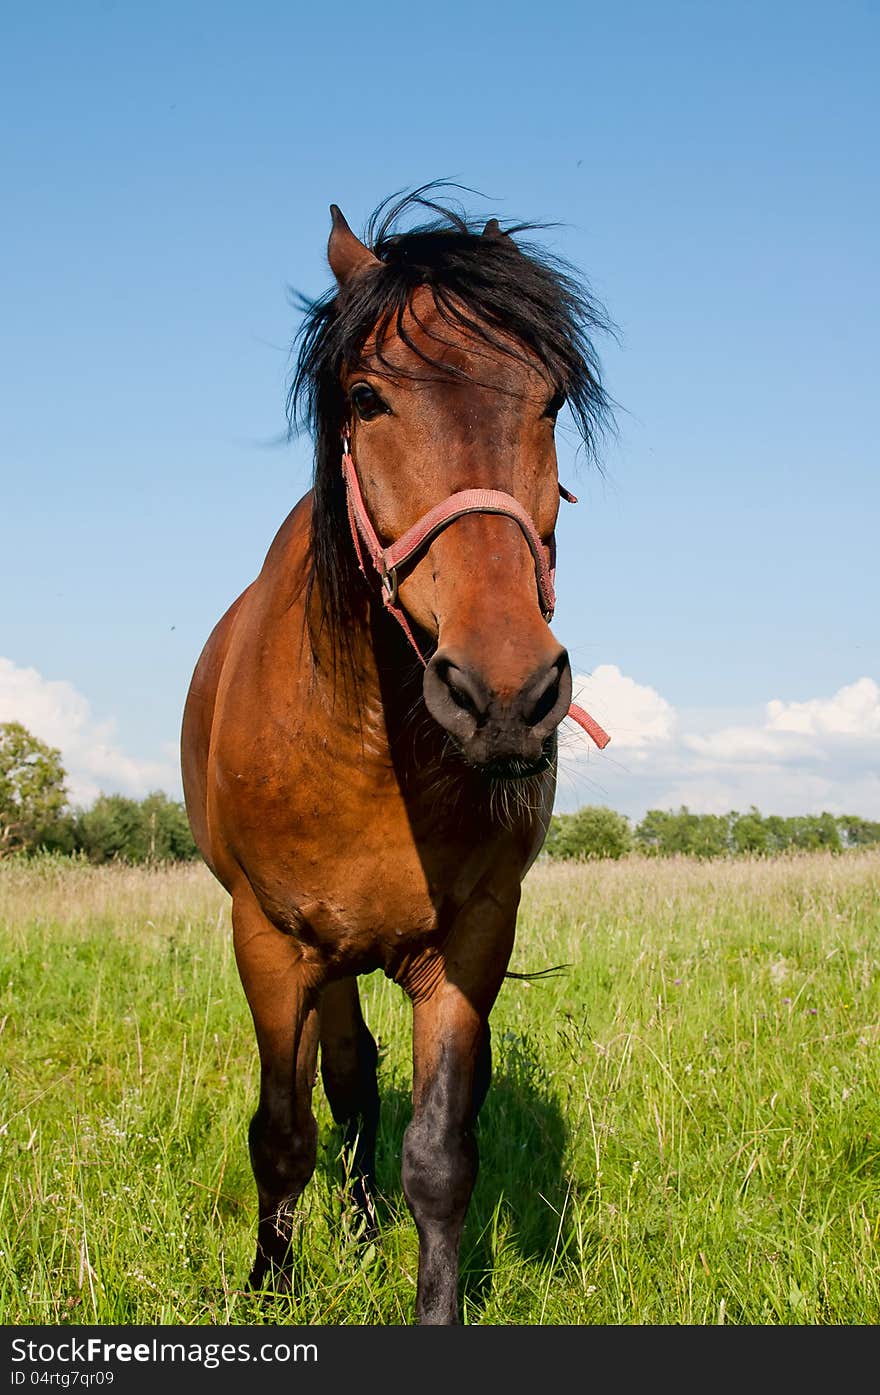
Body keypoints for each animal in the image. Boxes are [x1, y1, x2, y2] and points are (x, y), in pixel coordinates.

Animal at [181, 191, 613, 1322]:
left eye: (550, 400)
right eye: (367, 397)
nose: (506, 694)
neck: (369, 741)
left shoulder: (471, 944)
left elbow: (439, 1155)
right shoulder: (272, 942)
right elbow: (284, 1132)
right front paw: (272, 1285)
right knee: (340, 1078)